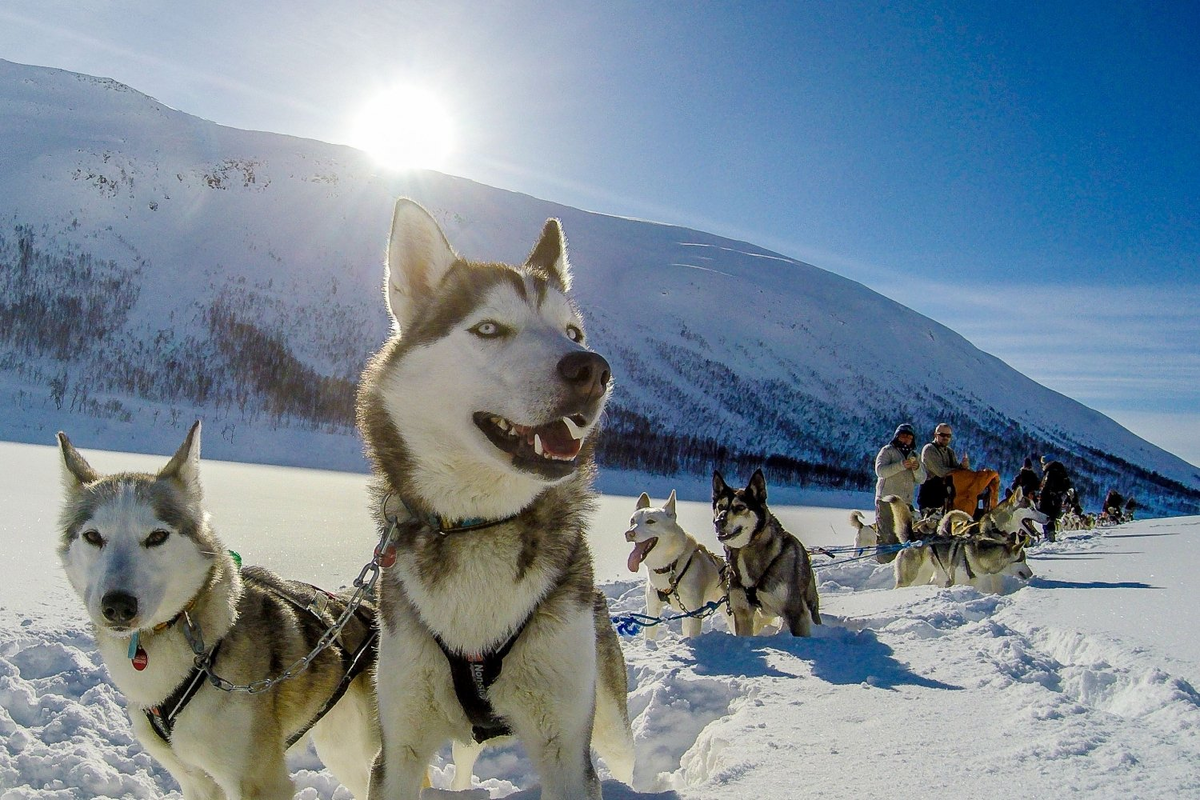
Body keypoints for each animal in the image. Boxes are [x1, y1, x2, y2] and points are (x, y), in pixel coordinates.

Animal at [52, 422, 374, 796]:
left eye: (157, 536)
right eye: (93, 537)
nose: (118, 606)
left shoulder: (258, 782)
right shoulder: (194, 780)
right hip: (342, 751)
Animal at [355, 200, 638, 800]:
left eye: (573, 332)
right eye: (488, 328)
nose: (592, 369)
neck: (480, 524)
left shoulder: (567, 749)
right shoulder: (398, 747)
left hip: (609, 720)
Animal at [628, 489, 729, 638]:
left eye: (650, 521)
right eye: (632, 521)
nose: (629, 533)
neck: (669, 565)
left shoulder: (694, 612)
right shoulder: (652, 610)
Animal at [705, 470, 820, 638]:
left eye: (740, 507)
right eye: (720, 506)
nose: (718, 522)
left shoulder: (796, 613)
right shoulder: (743, 613)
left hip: (810, 603)